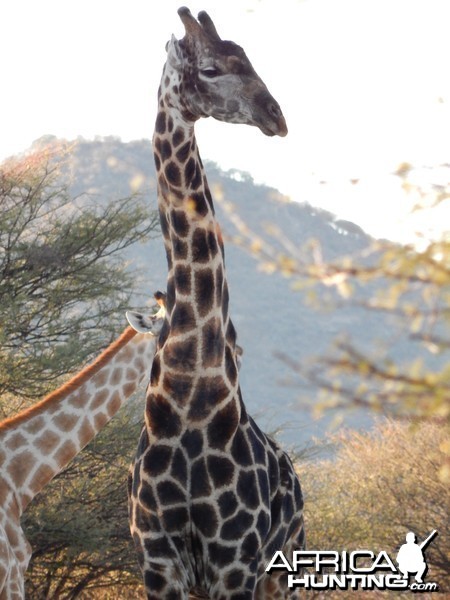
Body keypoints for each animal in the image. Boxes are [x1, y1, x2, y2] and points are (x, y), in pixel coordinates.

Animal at [130, 5, 306, 600]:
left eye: (247, 57)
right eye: (209, 68)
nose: (276, 116)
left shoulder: (234, 559)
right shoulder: (157, 559)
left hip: (284, 567)